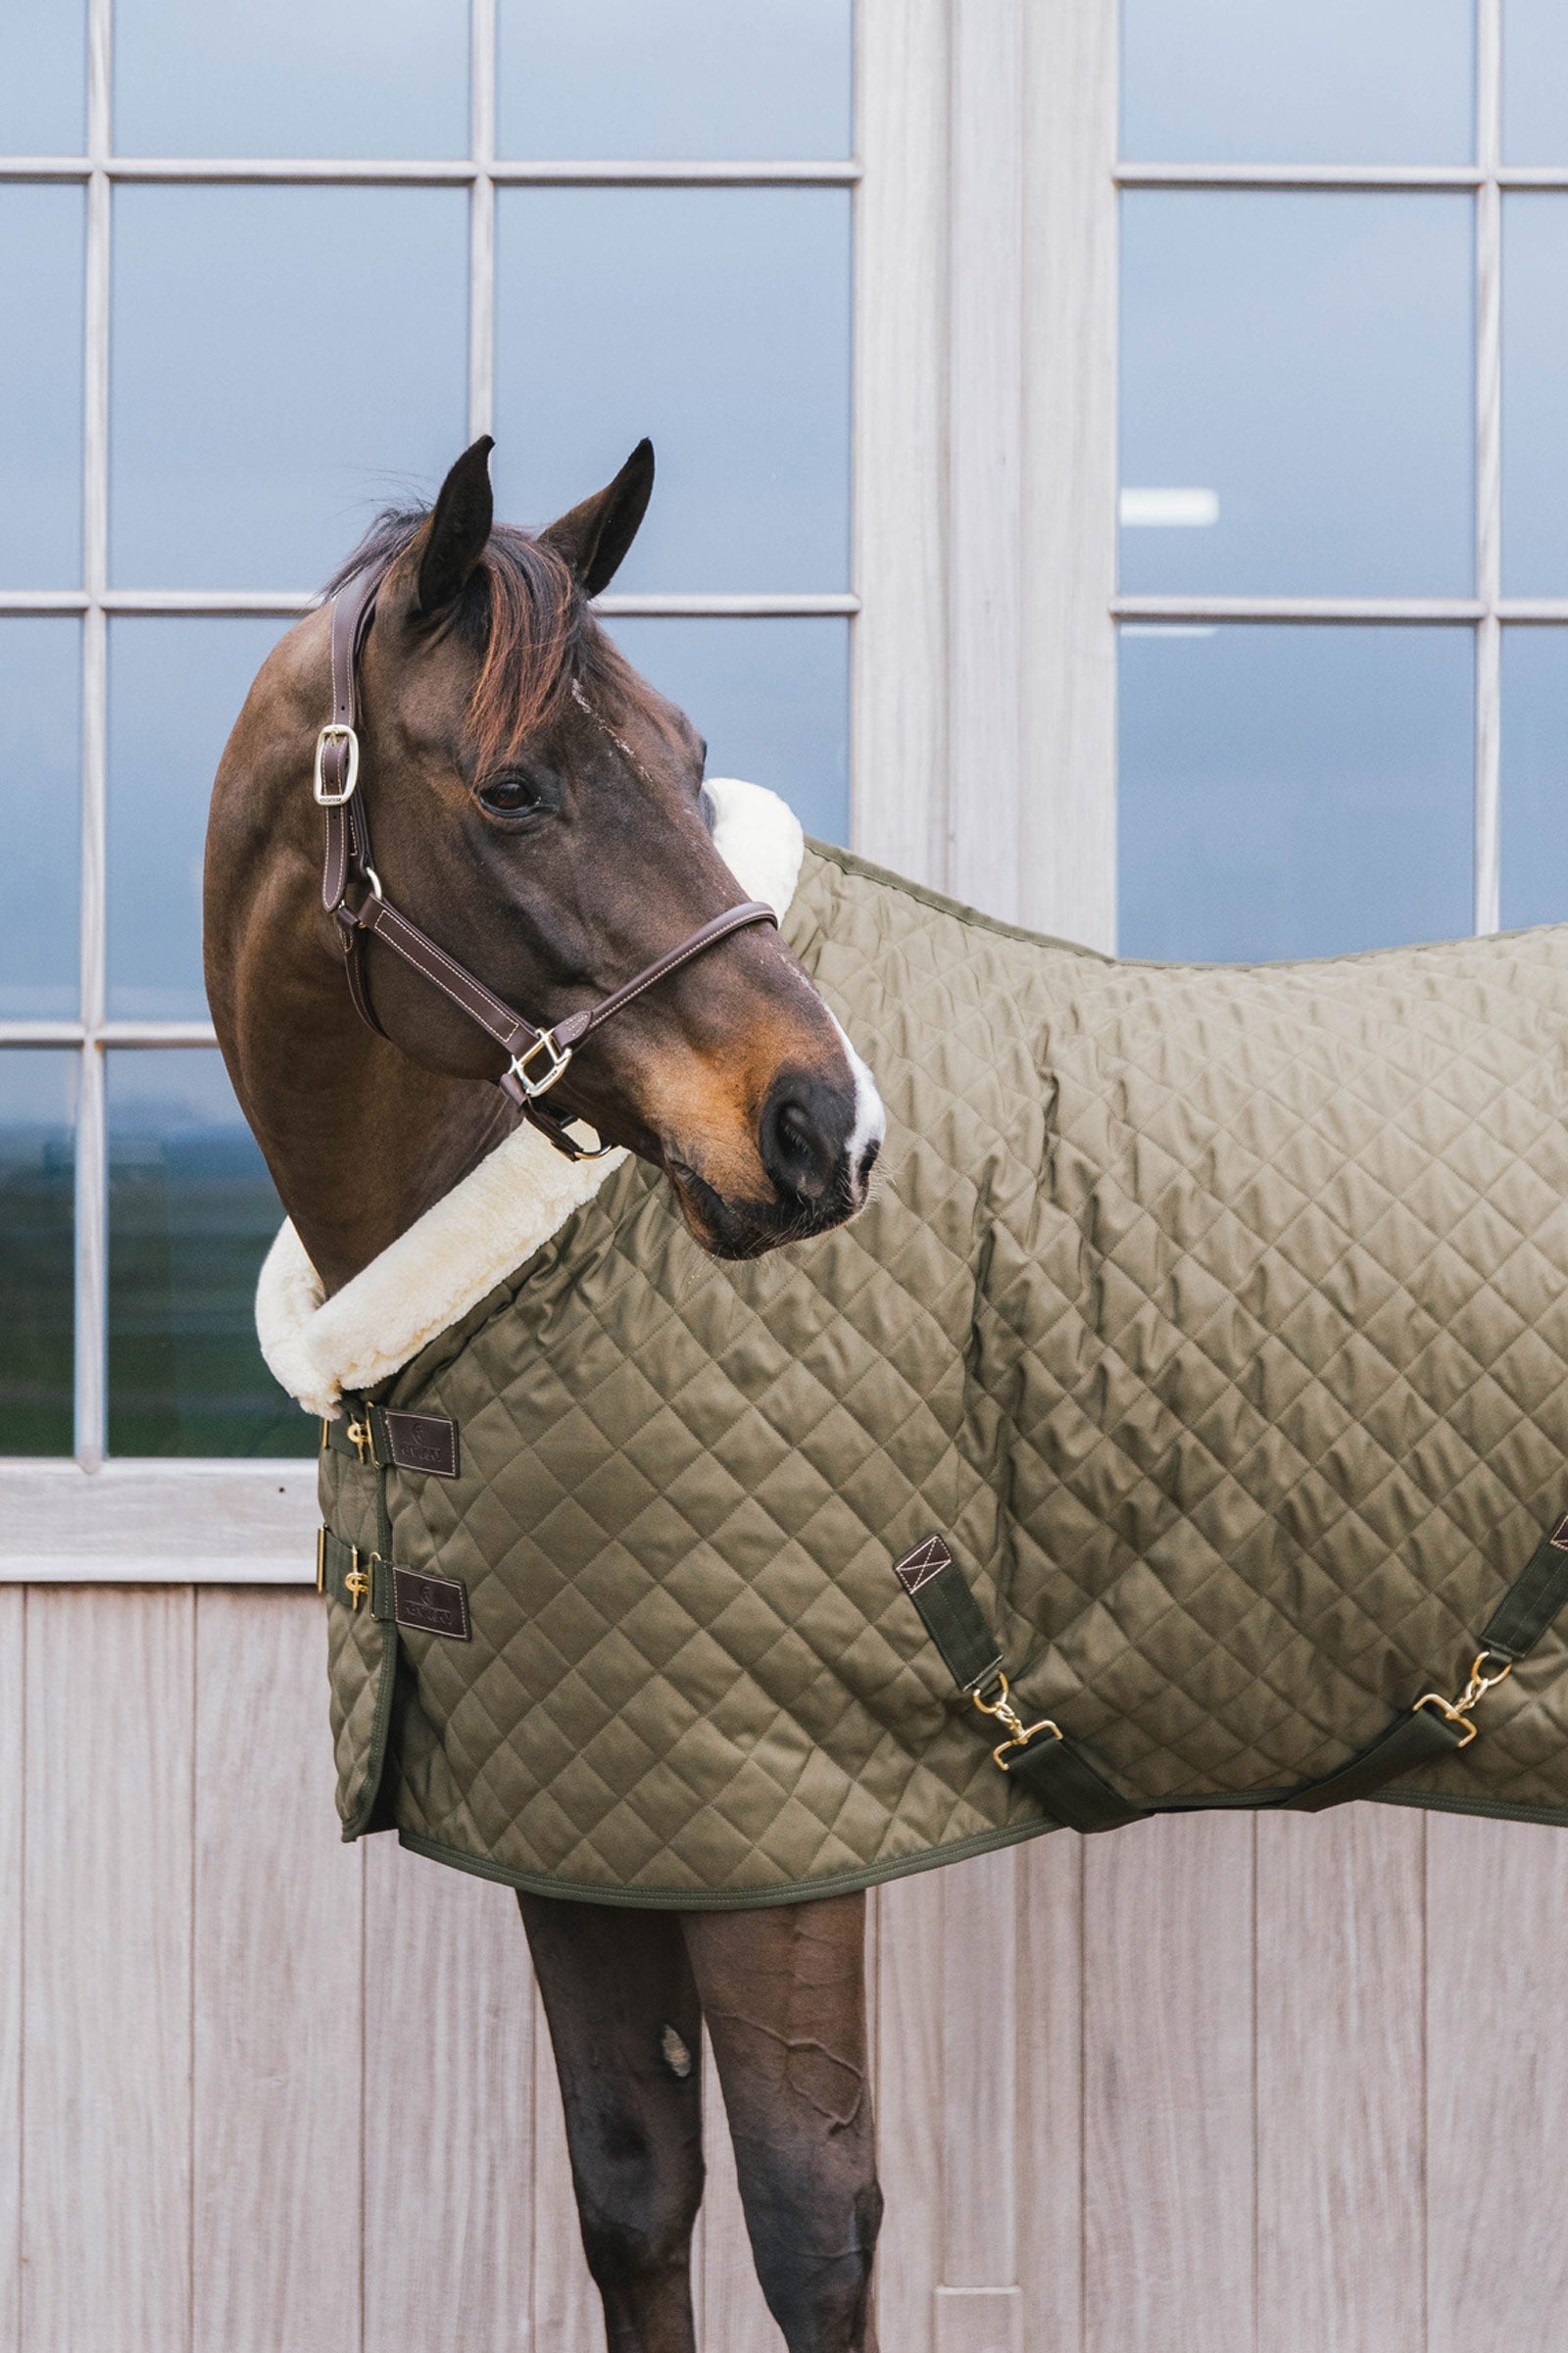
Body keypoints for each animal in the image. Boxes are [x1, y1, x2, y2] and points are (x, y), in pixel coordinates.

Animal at [205, 436, 890, 2353]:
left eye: (690, 755)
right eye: (515, 787)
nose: (826, 1126)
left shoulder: (785, 1833)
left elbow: (811, 2228)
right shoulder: (591, 1824)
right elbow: (635, 2187)